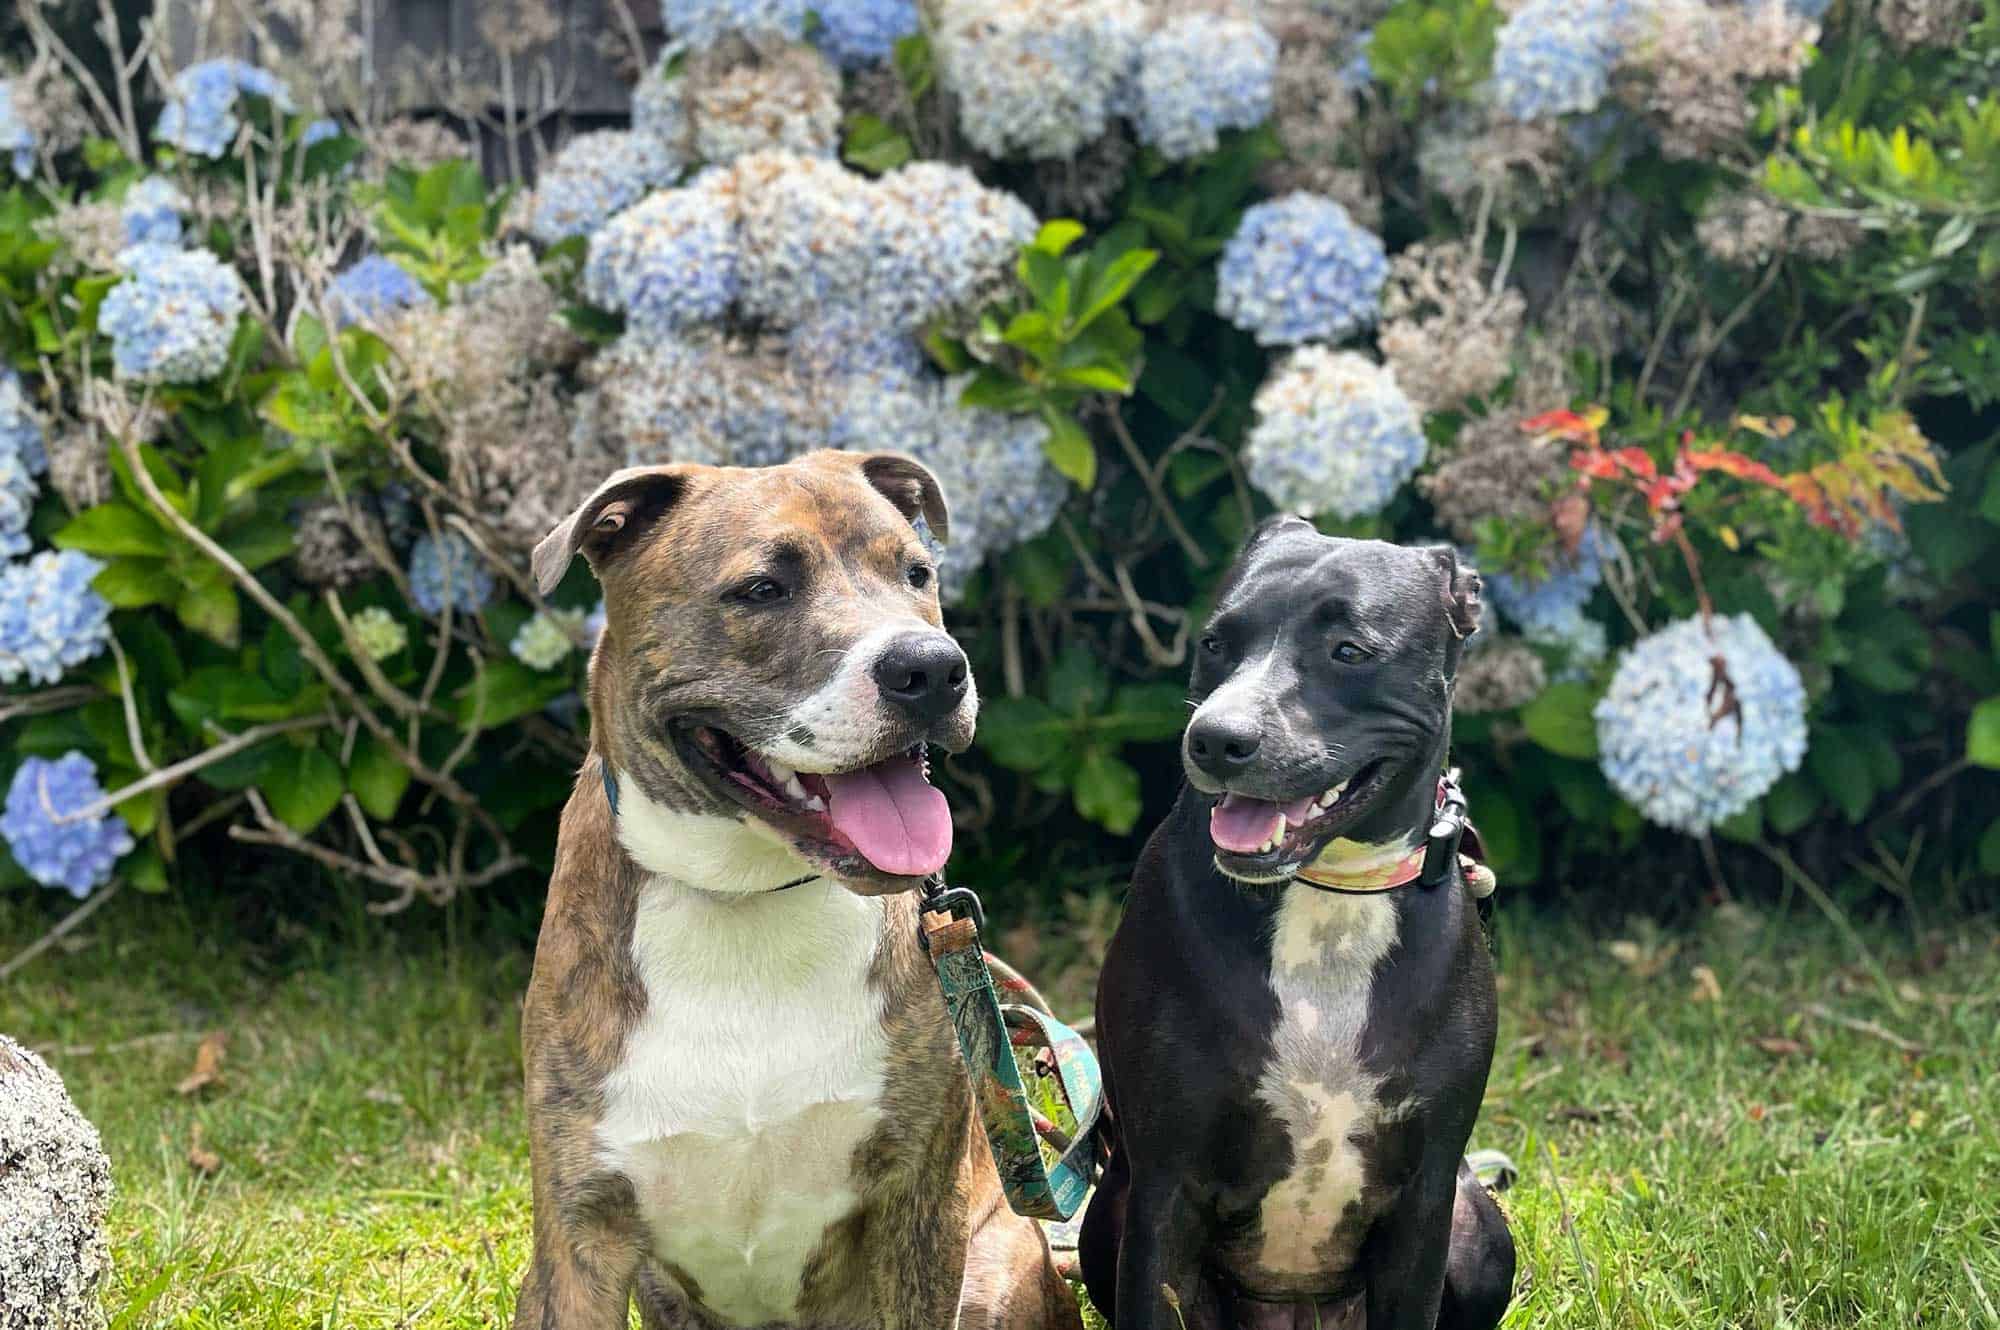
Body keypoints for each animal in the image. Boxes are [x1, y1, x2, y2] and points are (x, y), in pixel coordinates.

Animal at [516, 454, 1080, 1328]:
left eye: (917, 574)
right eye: (761, 589)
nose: (932, 669)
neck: (745, 897)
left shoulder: (916, 1209)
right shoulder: (579, 1238)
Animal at [1088, 520, 1504, 1328]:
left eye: (1349, 652)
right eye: (1215, 643)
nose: (1217, 739)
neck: (1329, 894)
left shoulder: (1427, 1201)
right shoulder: (1161, 1194)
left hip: (1479, 1230)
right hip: (1108, 1214)